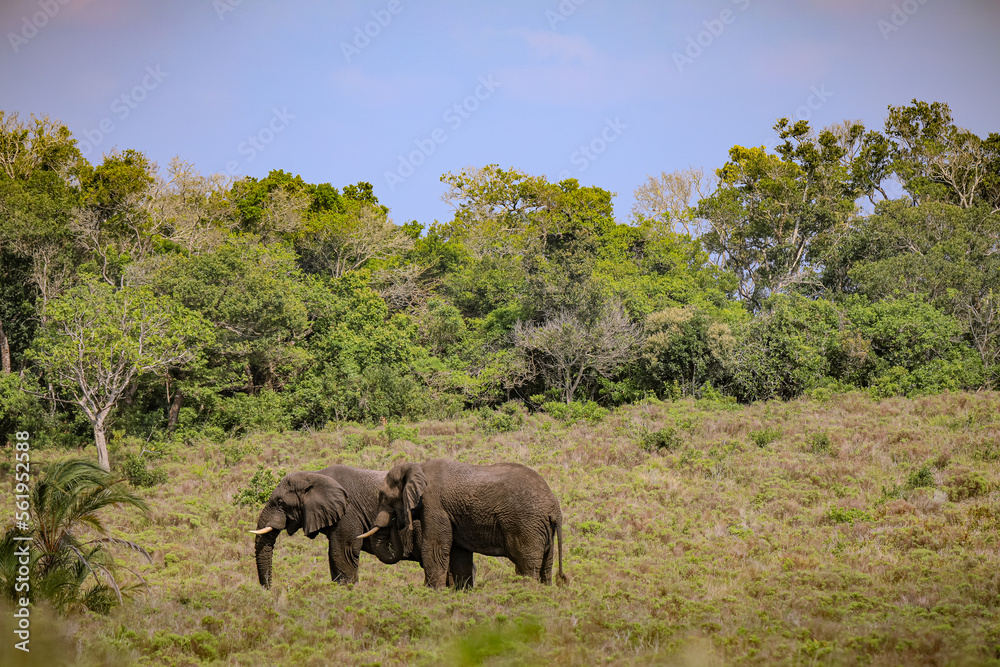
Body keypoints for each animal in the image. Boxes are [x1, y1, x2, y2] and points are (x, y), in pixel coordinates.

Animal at [249, 465, 476, 589]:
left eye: (280, 503)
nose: (269, 591)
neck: (315, 475)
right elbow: (333, 556)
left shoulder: (348, 513)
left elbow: (343, 552)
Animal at [359, 459, 566, 588]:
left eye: (384, 497)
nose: (396, 521)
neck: (417, 467)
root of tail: (555, 507)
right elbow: (459, 555)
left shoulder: (434, 505)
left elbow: (434, 548)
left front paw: (433, 594)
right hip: (542, 528)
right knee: (546, 567)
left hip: (526, 525)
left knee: (526, 565)